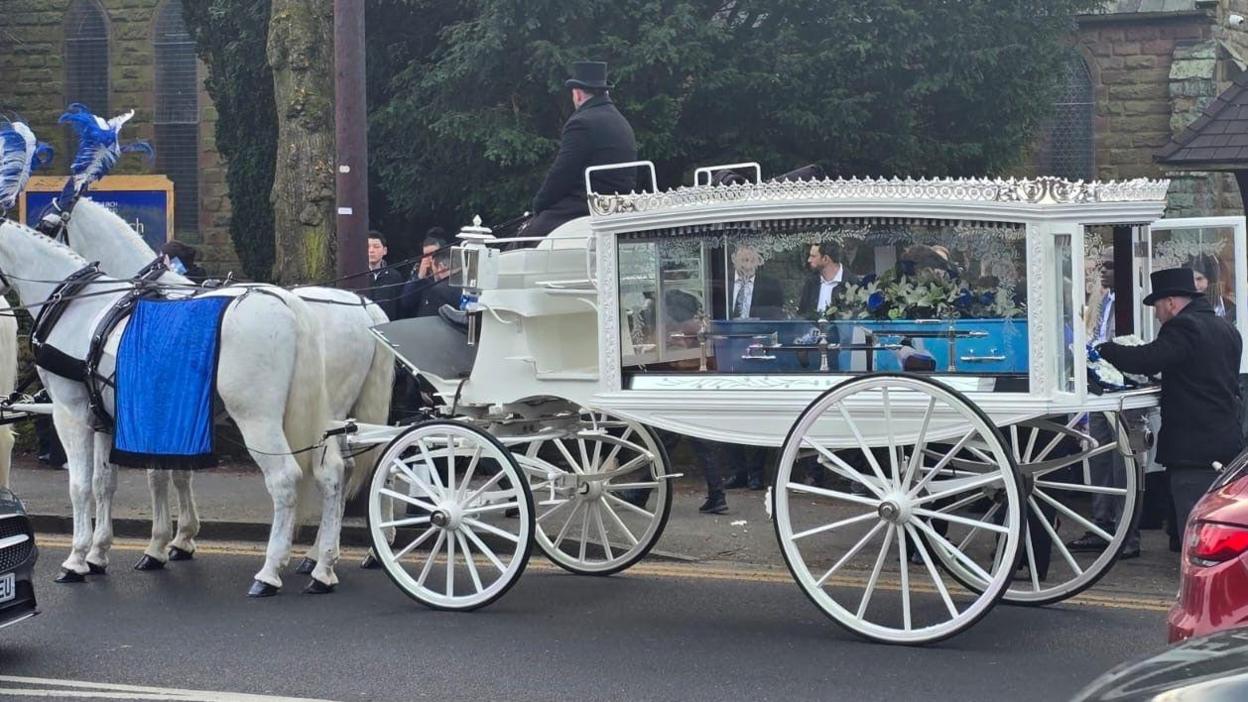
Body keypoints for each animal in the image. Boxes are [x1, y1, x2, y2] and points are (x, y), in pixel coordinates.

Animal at [0, 218, 346, 589]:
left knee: (283, 479)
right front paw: (99, 553)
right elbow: (104, 484)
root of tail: (290, 305)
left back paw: (270, 571)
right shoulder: (106, 419)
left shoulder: (70, 413)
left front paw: (76, 559)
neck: (79, 306)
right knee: (331, 473)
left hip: (257, 419)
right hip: (313, 417)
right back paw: (323, 566)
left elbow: (80, 487)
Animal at [69, 197, 389, 569]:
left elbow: (157, 474)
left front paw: (159, 544)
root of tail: (363, 307)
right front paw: (181, 538)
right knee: (353, 467)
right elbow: (178, 472)